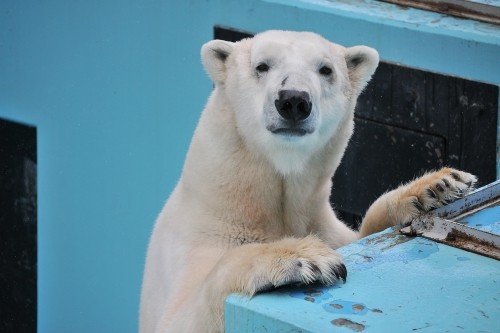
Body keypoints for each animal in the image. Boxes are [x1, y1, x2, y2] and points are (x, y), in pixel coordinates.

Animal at [140, 29, 476, 330]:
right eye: (262, 66)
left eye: (325, 69)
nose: (293, 101)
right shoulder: (200, 238)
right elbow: (182, 316)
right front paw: (302, 257)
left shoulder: (323, 224)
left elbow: (361, 236)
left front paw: (437, 187)